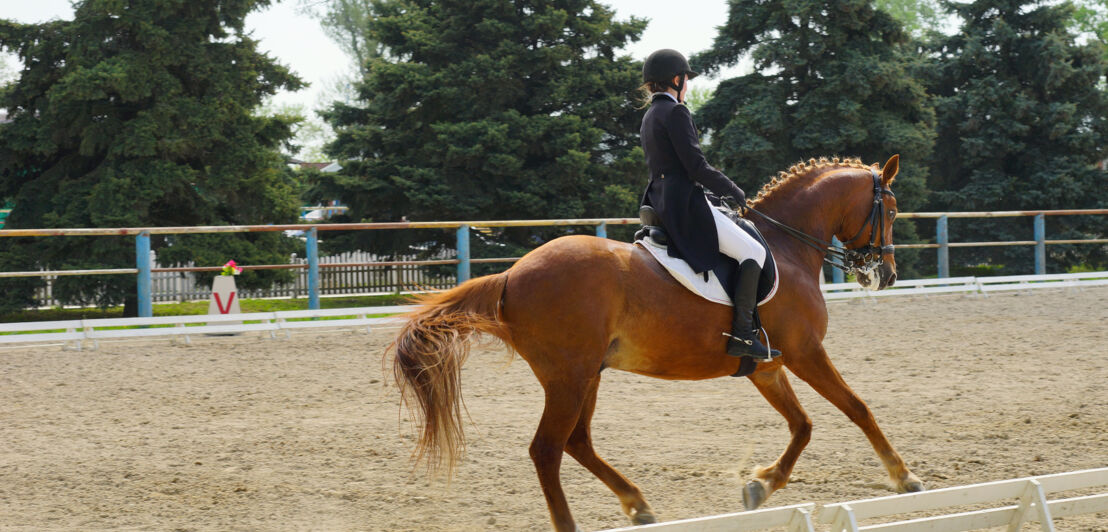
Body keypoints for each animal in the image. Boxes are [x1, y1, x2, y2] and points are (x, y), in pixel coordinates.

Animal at [390, 155, 926, 532]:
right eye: (891, 210)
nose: (885, 275)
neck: (788, 248)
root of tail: (512, 274)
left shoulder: (768, 366)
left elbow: (804, 425)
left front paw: (760, 485)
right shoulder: (805, 353)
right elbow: (856, 408)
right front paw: (904, 477)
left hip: (586, 375)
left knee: (577, 442)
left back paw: (638, 504)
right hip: (568, 377)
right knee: (547, 449)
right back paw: (576, 521)